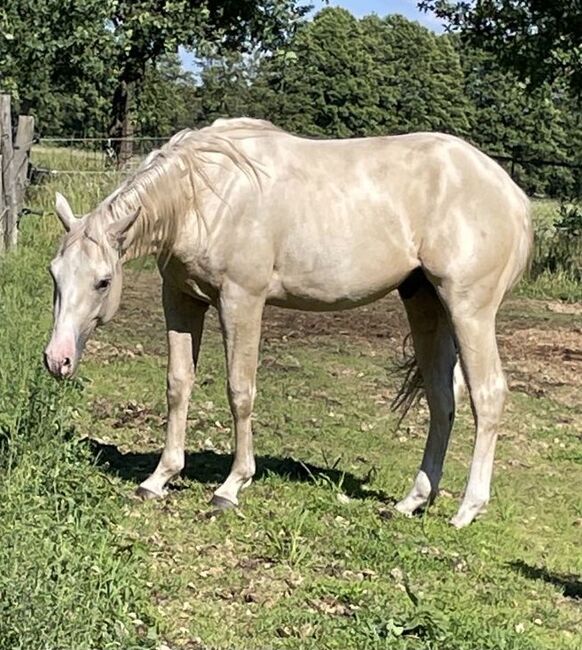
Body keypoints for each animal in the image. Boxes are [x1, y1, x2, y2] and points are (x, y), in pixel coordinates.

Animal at [45, 117, 536, 528]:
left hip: (469, 311)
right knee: (441, 400)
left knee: (488, 395)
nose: (57, 359)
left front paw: (231, 486)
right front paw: (159, 478)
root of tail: (511, 194)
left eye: (104, 281)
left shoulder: (241, 300)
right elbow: (178, 384)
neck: (205, 196)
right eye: (55, 273)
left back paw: (466, 510)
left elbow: (240, 391)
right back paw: (412, 501)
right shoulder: (181, 301)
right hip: (427, 305)